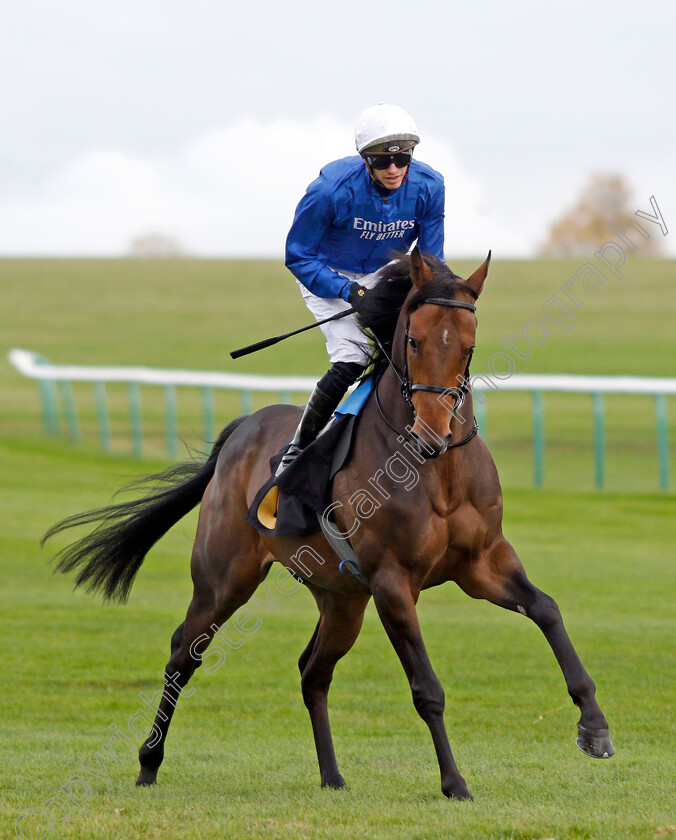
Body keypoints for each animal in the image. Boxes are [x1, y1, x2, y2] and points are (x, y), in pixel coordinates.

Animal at [45, 248, 616, 800]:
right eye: (413, 340)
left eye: (469, 347)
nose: (432, 432)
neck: (435, 469)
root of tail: (243, 429)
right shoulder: (392, 581)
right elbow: (426, 689)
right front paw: (454, 782)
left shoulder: (482, 563)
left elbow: (547, 610)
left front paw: (594, 725)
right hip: (224, 578)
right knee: (184, 653)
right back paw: (148, 762)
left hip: (342, 599)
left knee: (312, 671)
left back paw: (332, 776)